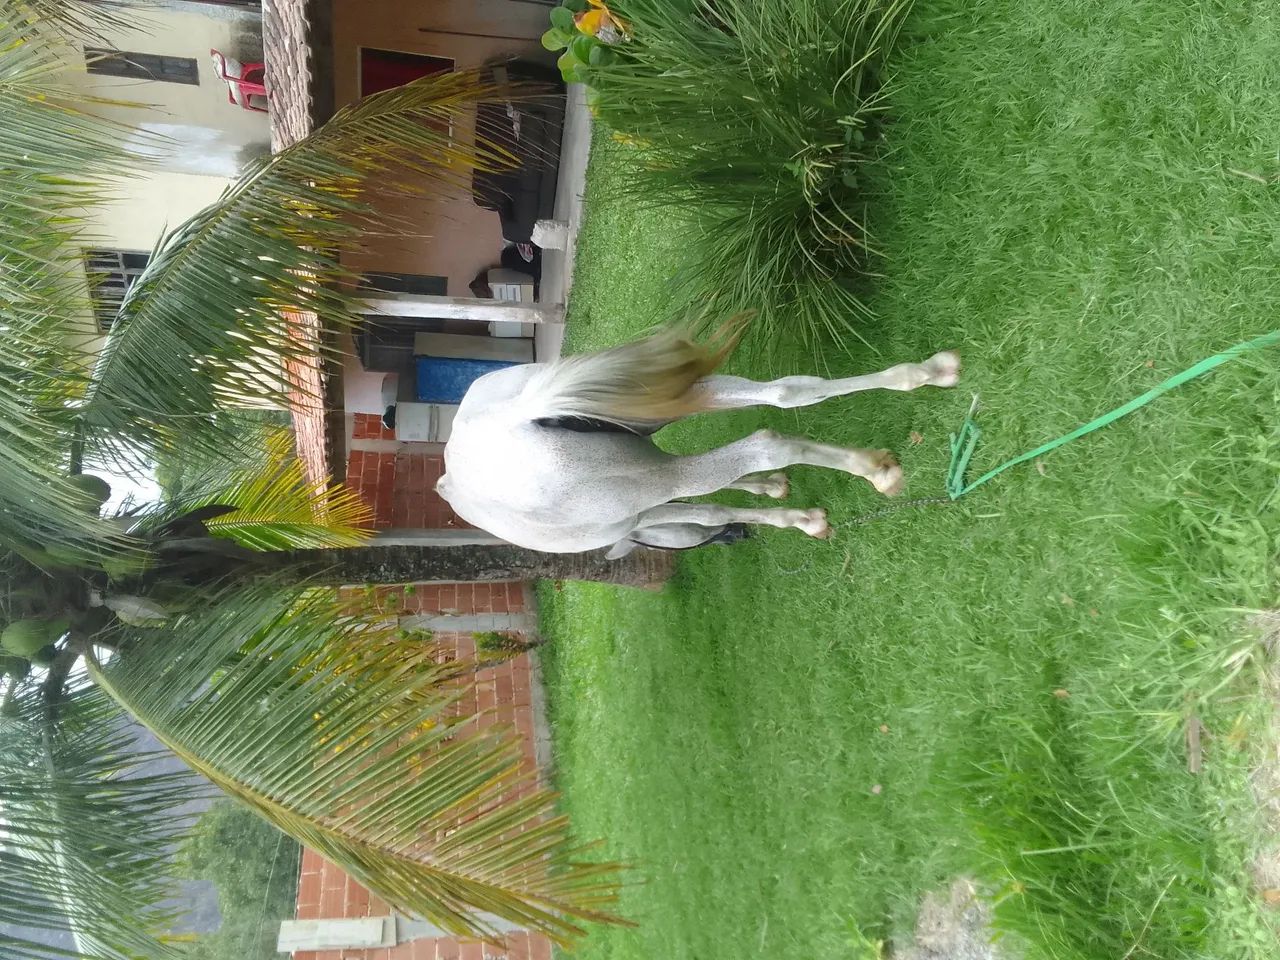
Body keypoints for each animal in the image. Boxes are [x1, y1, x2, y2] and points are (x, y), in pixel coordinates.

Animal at [435, 322, 960, 558]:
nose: (736, 541)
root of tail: (510, 417)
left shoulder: (646, 509)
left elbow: (714, 506)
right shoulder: (649, 509)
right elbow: (716, 507)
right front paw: (792, 509)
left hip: (661, 463)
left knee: (766, 440)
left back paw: (874, 469)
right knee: (785, 393)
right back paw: (927, 374)